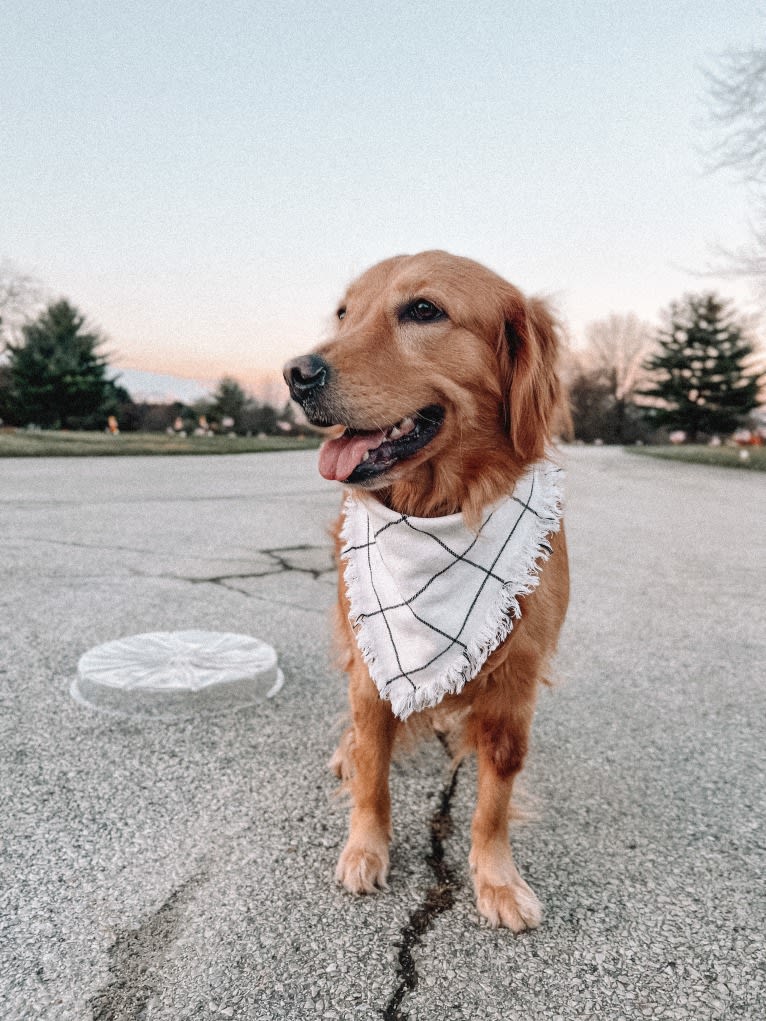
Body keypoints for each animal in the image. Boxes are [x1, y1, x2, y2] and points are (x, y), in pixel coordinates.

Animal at [283, 251, 571, 931]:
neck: (442, 508)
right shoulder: (371, 666)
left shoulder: (515, 685)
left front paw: (496, 878)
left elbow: (494, 799)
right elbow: (374, 775)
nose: (296, 373)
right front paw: (366, 847)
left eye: (423, 310)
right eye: (344, 312)